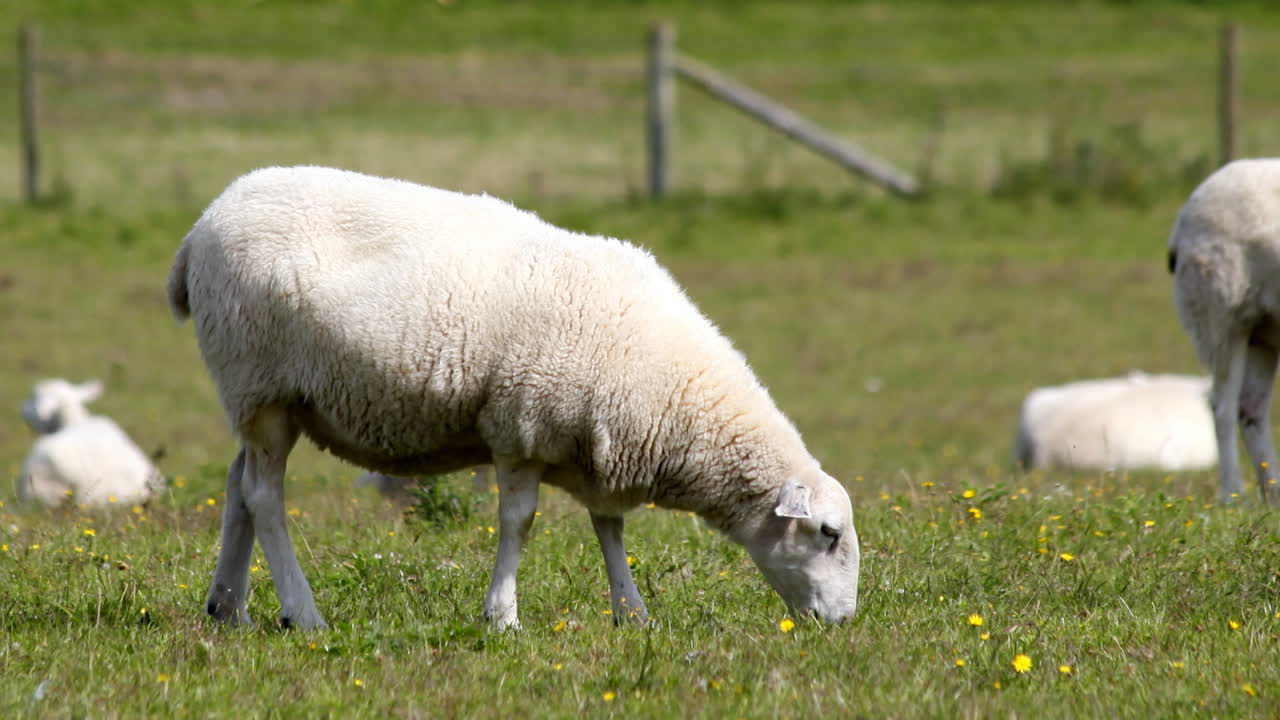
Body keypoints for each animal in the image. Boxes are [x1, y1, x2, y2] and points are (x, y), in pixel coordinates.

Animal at [166, 165, 860, 630]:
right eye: (827, 534)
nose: (844, 623)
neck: (674, 390)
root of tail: (201, 225)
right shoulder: (522, 427)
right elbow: (519, 523)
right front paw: (502, 617)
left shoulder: (596, 443)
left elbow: (609, 527)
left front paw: (632, 613)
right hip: (261, 383)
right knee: (265, 497)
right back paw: (302, 612)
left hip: (262, 400)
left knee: (237, 486)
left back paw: (228, 607)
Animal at [1168, 158, 1280, 505]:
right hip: (1221, 314)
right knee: (1222, 405)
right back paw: (1232, 493)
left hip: (1263, 330)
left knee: (1251, 408)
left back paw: (1273, 493)